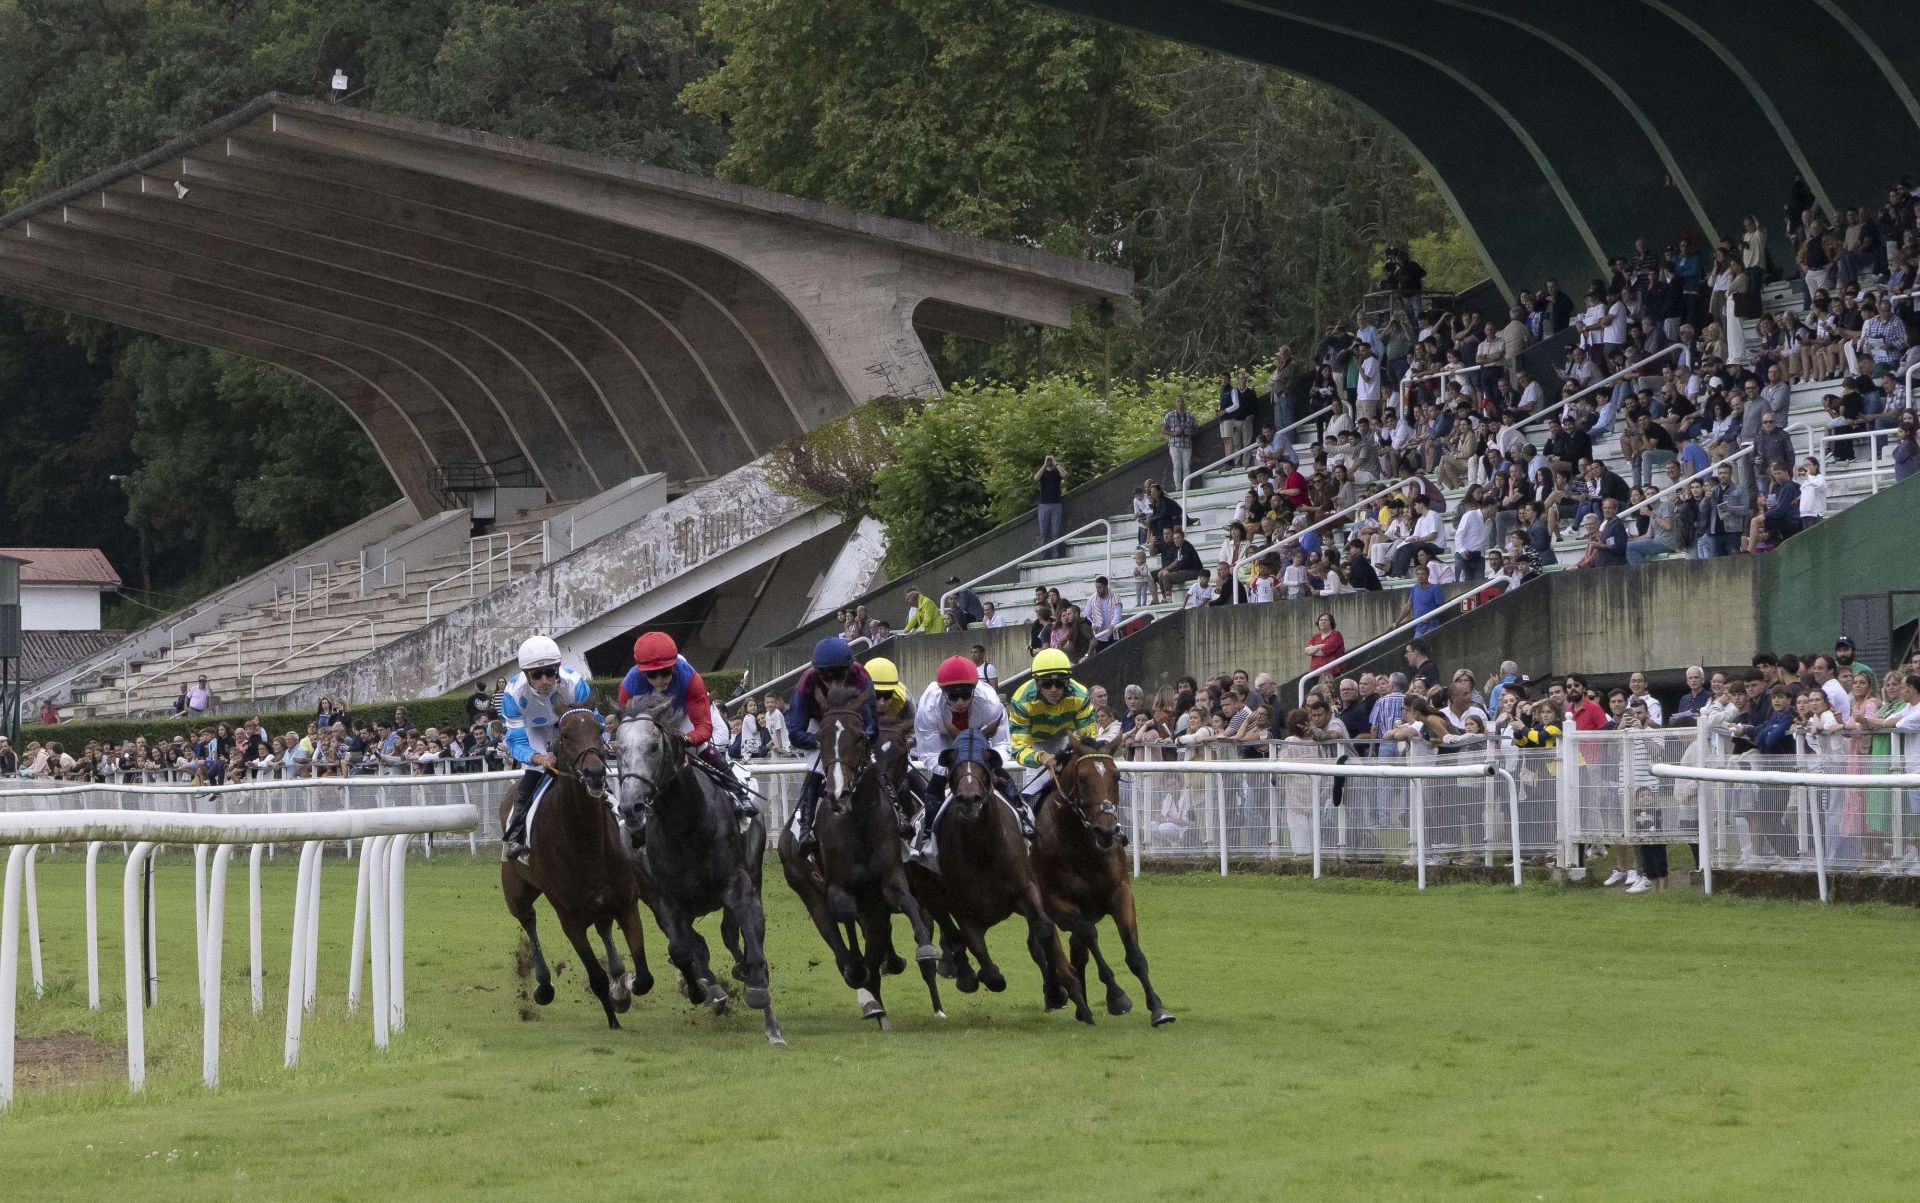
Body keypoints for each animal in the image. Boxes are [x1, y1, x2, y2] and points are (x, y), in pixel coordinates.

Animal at [499, 709, 656, 1028]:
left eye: (599, 729)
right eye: (565, 735)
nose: (594, 773)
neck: (586, 842)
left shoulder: (625, 901)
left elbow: (644, 977)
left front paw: (623, 987)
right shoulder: (569, 917)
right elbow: (596, 976)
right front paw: (614, 1014)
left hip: (601, 902)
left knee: (603, 926)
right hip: (516, 892)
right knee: (528, 920)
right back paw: (544, 985)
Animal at [622, 690, 787, 1051]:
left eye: (653, 747)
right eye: (617, 748)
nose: (631, 806)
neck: (686, 825)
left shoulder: (737, 883)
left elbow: (751, 936)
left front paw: (763, 1003)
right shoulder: (667, 900)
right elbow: (683, 949)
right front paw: (703, 988)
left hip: (752, 874)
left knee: (743, 930)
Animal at [779, 690, 944, 1028]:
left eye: (903, 750)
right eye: (822, 738)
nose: (839, 792)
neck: (861, 820)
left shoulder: (894, 884)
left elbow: (915, 918)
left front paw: (935, 995)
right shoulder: (841, 889)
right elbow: (849, 925)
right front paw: (864, 979)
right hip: (807, 890)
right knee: (836, 934)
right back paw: (869, 995)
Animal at [902, 732, 1090, 1028]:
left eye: (984, 765)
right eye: (954, 766)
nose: (969, 799)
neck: (983, 850)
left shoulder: (1028, 890)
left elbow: (1043, 932)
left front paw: (1056, 991)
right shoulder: (963, 909)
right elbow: (978, 952)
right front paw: (981, 975)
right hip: (927, 893)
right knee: (949, 932)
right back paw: (964, 974)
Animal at [1029, 744, 1175, 1028]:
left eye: (1116, 776)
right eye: (1082, 778)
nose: (1106, 831)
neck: (1080, 845)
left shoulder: (1120, 893)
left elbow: (1134, 955)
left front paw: (1158, 1008)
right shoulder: (1058, 904)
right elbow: (1089, 936)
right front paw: (1117, 996)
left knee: (1071, 950)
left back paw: (1079, 1005)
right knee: (1047, 946)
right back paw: (1063, 995)